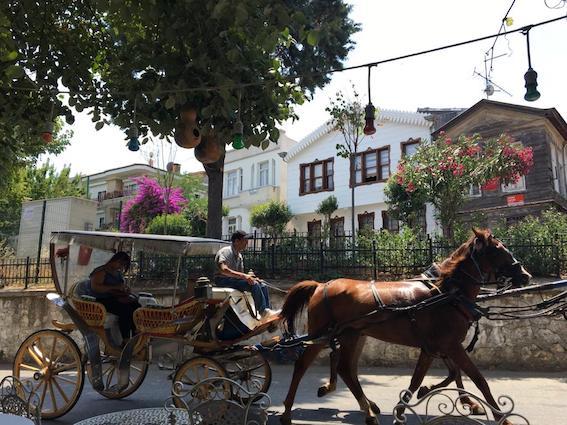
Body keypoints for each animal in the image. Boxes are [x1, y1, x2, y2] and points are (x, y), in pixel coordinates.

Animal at [280, 230, 532, 422]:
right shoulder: (451, 346)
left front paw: (410, 402)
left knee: (346, 368)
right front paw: (502, 417)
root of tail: (321, 284)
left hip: (353, 336)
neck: (448, 291)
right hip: (322, 335)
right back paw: (287, 411)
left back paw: (367, 407)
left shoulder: (435, 347)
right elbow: (478, 380)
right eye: (499, 249)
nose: (526, 275)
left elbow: (431, 377)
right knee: (306, 365)